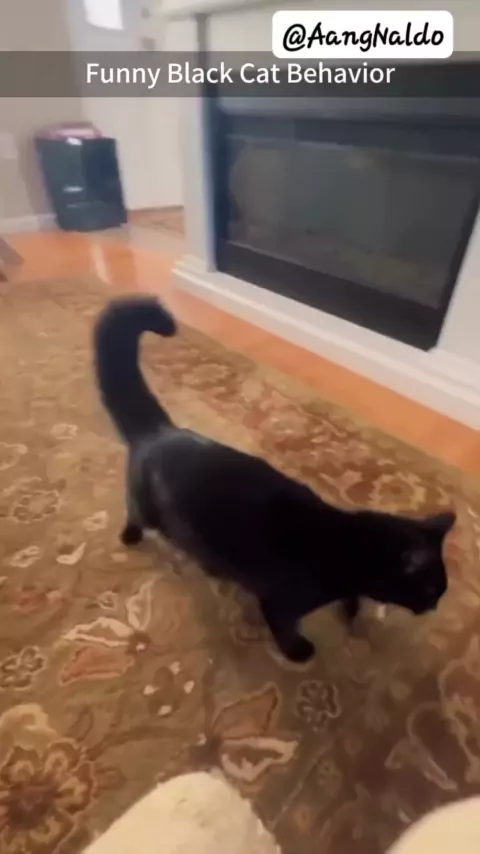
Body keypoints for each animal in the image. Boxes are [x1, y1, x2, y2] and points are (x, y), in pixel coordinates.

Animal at [94, 296, 455, 663]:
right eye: (431, 588)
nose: (435, 605)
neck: (343, 546)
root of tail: (160, 430)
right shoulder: (278, 602)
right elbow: (284, 629)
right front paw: (301, 653)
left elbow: (351, 602)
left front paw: (354, 617)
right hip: (148, 507)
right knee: (135, 512)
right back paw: (131, 536)